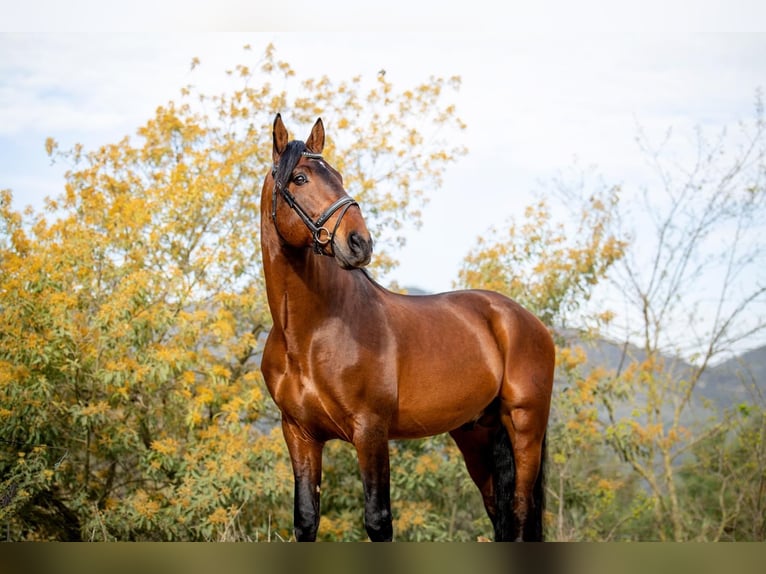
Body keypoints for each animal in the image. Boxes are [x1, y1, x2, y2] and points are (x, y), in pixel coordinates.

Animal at [259, 114, 555, 542]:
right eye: (299, 178)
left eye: (338, 175)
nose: (359, 242)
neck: (310, 333)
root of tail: (524, 320)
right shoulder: (299, 433)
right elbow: (306, 519)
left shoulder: (371, 431)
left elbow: (378, 521)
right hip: (478, 433)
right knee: (499, 512)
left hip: (525, 428)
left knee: (518, 511)